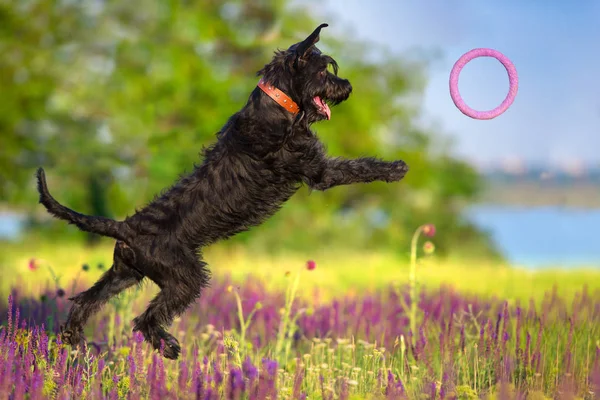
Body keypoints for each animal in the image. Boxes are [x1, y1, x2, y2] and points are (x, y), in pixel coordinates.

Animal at [36, 23, 408, 358]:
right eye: (324, 69)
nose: (347, 87)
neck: (280, 104)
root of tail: (125, 227)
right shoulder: (318, 169)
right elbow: (358, 167)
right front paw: (396, 169)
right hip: (186, 277)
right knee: (145, 319)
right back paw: (168, 348)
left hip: (125, 273)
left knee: (85, 301)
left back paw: (75, 343)